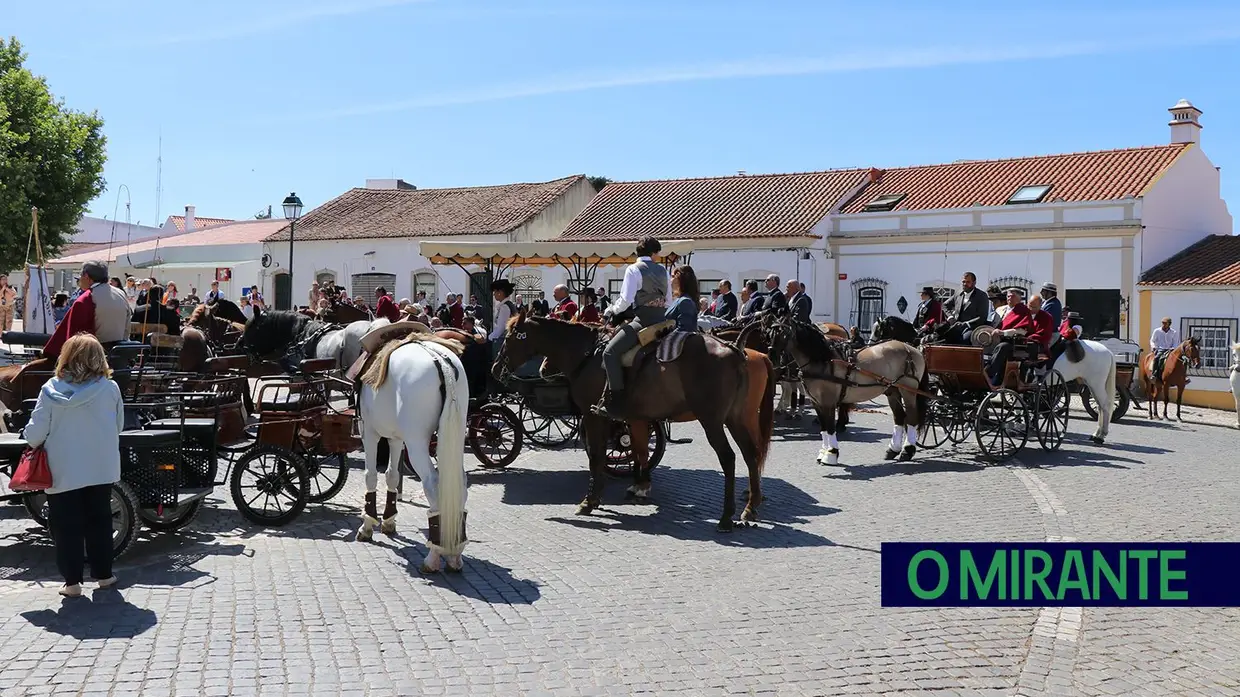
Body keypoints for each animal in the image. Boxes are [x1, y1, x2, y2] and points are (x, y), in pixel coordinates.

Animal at [496, 306, 773, 528]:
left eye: (509, 337)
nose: (495, 368)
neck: (589, 355)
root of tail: (736, 351)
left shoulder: (593, 416)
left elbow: (597, 455)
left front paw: (590, 500)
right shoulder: (633, 417)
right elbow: (636, 450)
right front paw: (635, 486)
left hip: (713, 421)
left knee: (729, 458)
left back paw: (727, 517)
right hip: (736, 418)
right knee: (751, 454)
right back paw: (750, 507)